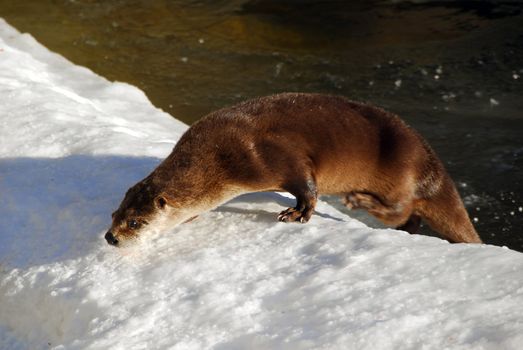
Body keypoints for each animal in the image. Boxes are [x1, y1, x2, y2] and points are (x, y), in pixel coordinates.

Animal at [105, 93, 484, 246]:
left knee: (402, 208)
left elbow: (306, 186)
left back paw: (358, 201)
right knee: (411, 218)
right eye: (114, 215)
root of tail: (432, 164)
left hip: (400, 172)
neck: (220, 159)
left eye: (135, 223)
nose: (111, 238)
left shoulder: (271, 155)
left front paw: (297, 214)